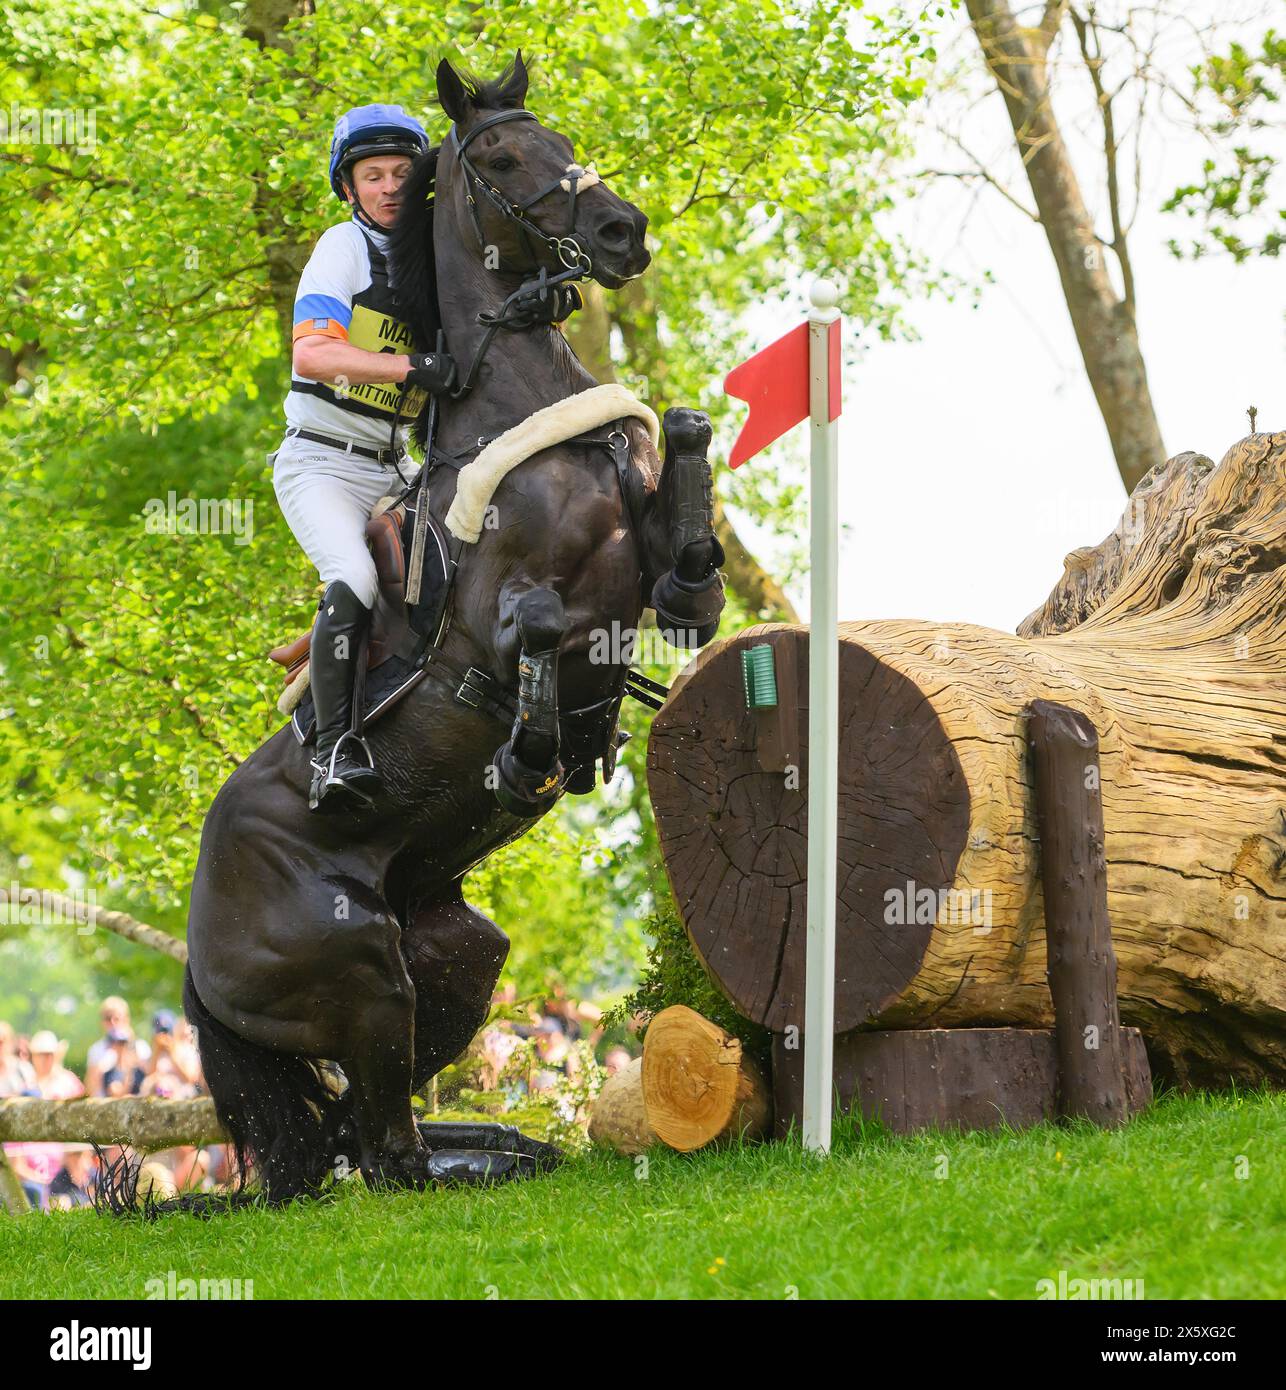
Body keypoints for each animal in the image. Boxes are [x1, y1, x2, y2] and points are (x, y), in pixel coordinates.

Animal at [135, 54, 728, 1206]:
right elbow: (533, 622)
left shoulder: (654, 585)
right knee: (381, 1151)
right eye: (499, 157)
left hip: (455, 952)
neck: (525, 410)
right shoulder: (492, 626)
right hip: (361, 963)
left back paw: (510, 1150)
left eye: (560, 138)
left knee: (376, 1132)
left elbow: (688, 516)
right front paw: (531, 755)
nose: (624, 230)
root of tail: (190, 950)